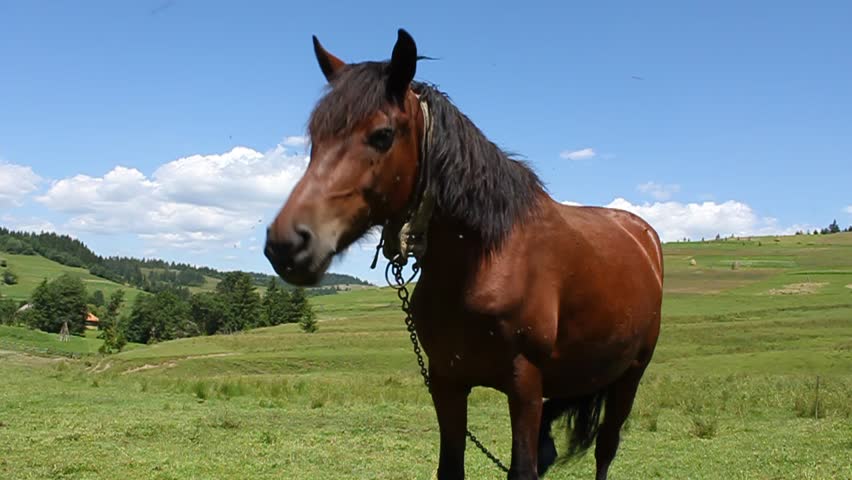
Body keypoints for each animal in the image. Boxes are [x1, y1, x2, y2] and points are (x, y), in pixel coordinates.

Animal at [264, 29, 663, 480]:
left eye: (382, 134)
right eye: (315, 137)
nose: (287, 244)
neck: (482, 261)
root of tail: (643, 237)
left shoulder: (525, 387)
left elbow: (523, 468)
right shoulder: (447, 382)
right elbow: (452, 466)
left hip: (629, 377)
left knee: (605, 450)